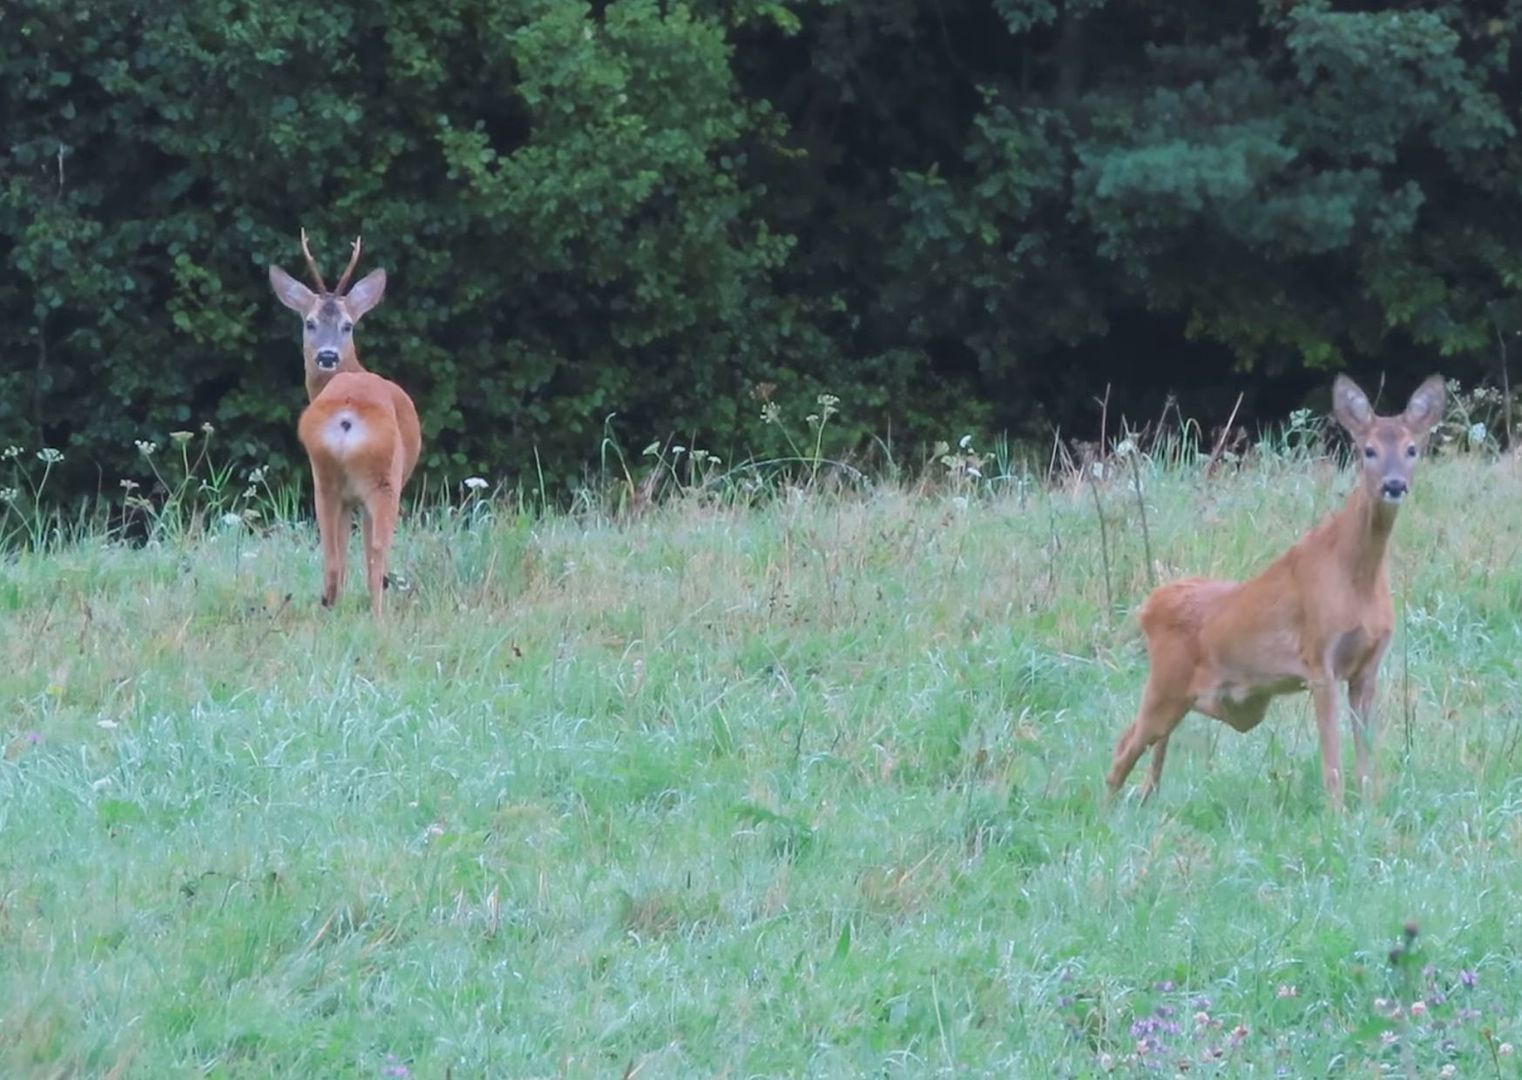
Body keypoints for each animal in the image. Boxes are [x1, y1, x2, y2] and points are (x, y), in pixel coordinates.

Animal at [269, 232, 423, 620]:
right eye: (309, 322)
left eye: (347, 325)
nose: (327, 356)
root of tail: (347, 414)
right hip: (383, 478)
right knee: (377, 548)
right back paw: (379, 615)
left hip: (323, 476)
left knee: (330, 552)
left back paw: (327, 606)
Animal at [1108, 377, 1436, 809]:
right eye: (1369, 450)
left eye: (1412, 449)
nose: (1394, 485)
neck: (1357, 578)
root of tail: (1149, 605)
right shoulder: (1319, 658)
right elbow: (1332, 759)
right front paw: (1336, 812)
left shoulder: (1367, 668)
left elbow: (1367, 758)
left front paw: (1370, 808)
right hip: (1166, 683)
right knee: (1123, 745)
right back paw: (1107, 810)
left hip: (1223, 700)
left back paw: (1145, 794)